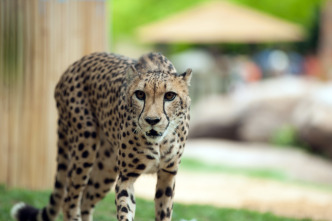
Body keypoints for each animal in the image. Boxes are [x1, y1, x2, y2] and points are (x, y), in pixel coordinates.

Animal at [11, 52, 192, 221]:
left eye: (170, 95)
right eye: (140, 94)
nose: (152, 120)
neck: (160, 142)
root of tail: (74, 65)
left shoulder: (168, 175)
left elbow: (164, 212)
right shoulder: (126, 177)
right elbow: (125, 210)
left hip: (106, 167)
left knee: (86, 200)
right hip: (85, 145)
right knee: (70, 200)